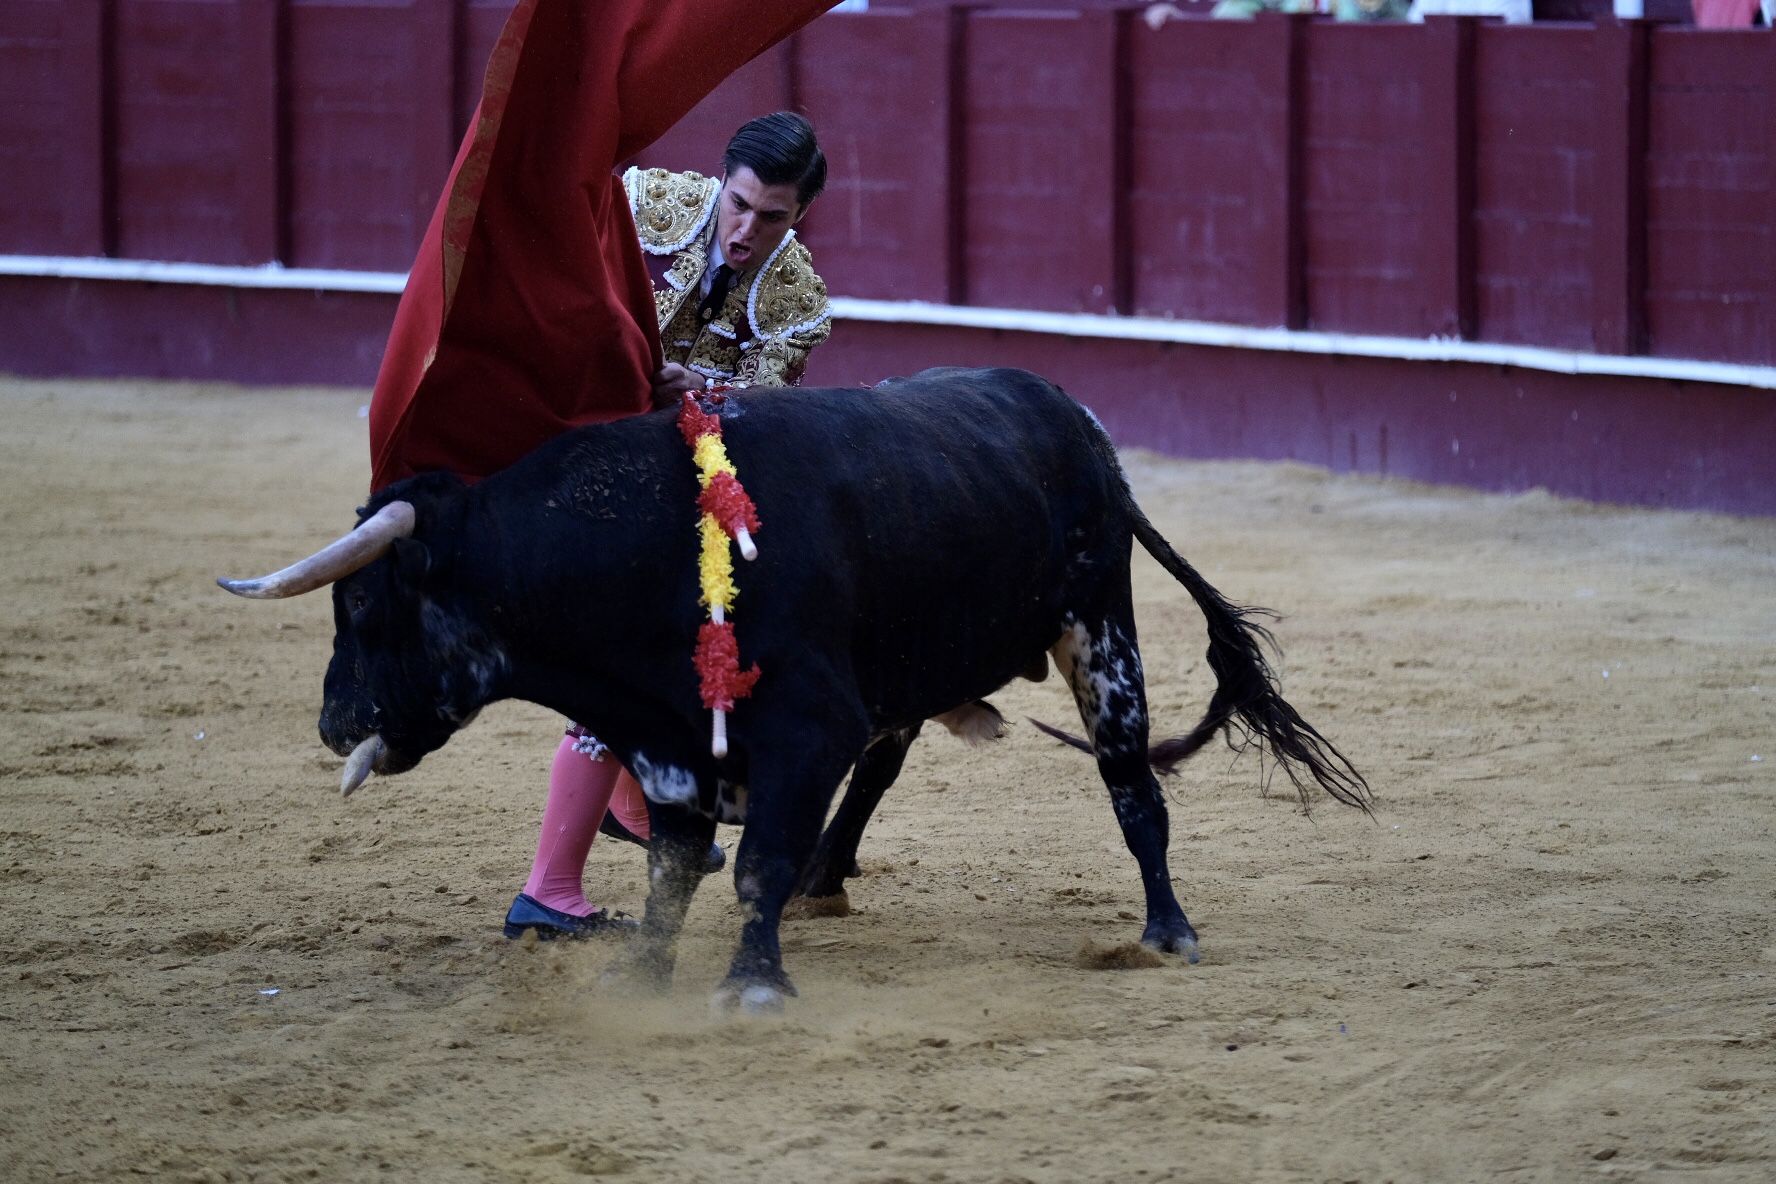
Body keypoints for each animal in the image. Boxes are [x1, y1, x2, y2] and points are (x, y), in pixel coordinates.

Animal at [218, 363, 1356, 1008]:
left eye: (366, 606)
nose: (333, 722)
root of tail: (1075, 421)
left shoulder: (806, 726)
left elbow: (751, 864)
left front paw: (752, 985)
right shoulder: (668, 736)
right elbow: (673, 871)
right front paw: (643, 976)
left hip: (1101, 631)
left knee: (1131, 785)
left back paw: (1168, 932)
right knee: (887, 764)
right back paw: (829, 874)